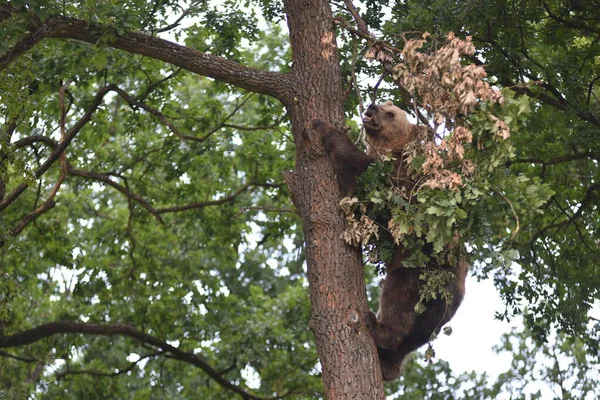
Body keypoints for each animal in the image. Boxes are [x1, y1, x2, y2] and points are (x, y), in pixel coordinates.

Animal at [312, 101, 472, 382]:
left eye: (391, 113)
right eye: (387, 104)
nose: (373, 106)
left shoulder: (399, 181)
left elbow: (360, 173)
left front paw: (323, 125)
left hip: (421, 272)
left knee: (398, 300)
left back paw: (377, 327)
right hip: (434, 311)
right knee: (414, 337)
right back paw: (388, 365)